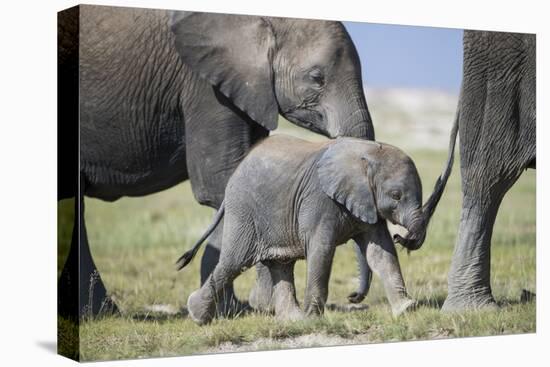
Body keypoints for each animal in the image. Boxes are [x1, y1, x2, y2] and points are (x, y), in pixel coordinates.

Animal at [58, 5, 378, 320]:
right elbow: (220, 183)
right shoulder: (204, 86)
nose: (353, 297)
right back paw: (100, 315)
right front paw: (256, 307)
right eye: (316, 77)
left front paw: (243, 307)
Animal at [180, 135, 426, 324]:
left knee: (280, 264)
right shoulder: (319, 201)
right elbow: (322, 251)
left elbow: (381, 254)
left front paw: (407, 309)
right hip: (244, 212)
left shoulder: (368, 204)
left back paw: (293, 320)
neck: (368, 151)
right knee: (234, 262)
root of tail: (237, 171)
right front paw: (314, 318)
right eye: (396, 196)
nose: (402, 237)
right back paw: (197, 315)